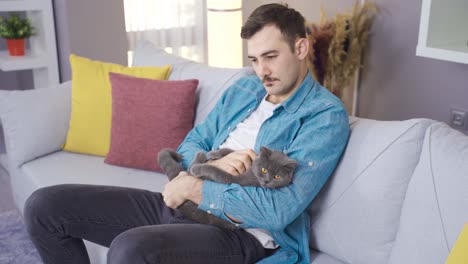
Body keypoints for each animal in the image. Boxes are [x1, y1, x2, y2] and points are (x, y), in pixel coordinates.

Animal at [157, 147, 296, 230]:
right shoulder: (250, 156)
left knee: (190, 169)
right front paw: (214, 153)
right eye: (264, 169)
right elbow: (231, 151)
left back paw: (198, 160)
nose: (267, 181)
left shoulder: (237, 180)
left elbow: (216, 171)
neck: (253, 171)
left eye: (277, 177)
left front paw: (200, 167)